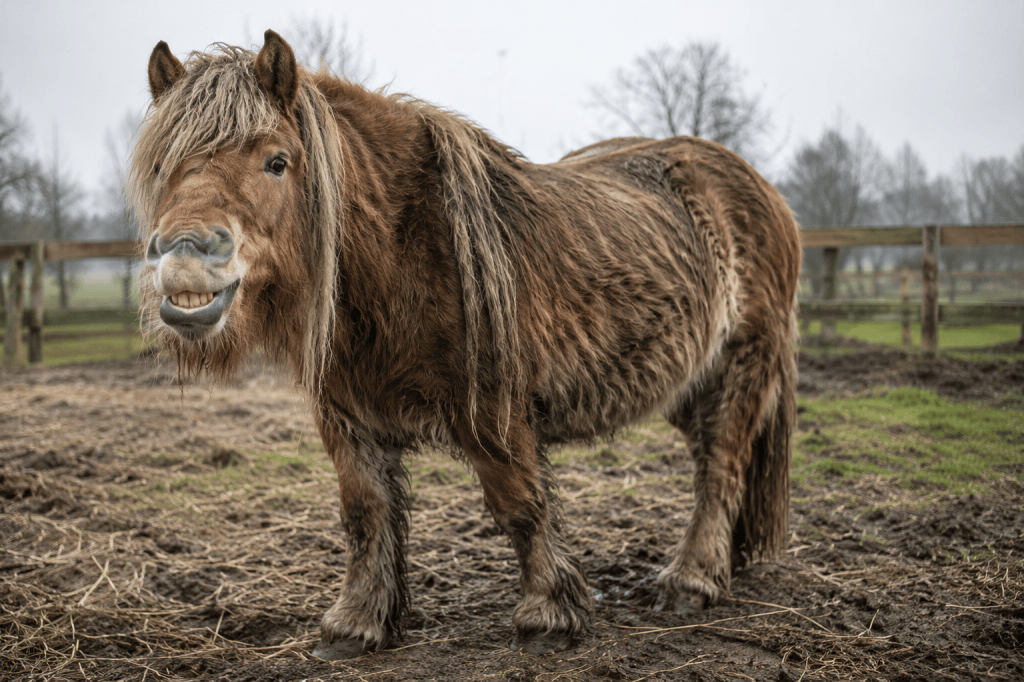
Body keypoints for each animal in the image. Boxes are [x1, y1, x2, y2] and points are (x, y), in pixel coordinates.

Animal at [130, 30, 801, 660]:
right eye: (162, 167)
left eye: (276, 162)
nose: (185, 258)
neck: (403, 252)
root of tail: (759, 189)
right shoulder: (346, 416)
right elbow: (365, 513)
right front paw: (357, 624)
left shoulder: (495, 412)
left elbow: (521, 505)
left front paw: (547, 616)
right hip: (689, 384)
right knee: (711, 460)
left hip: (742, 365)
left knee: (721, 465)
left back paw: (691, 582)